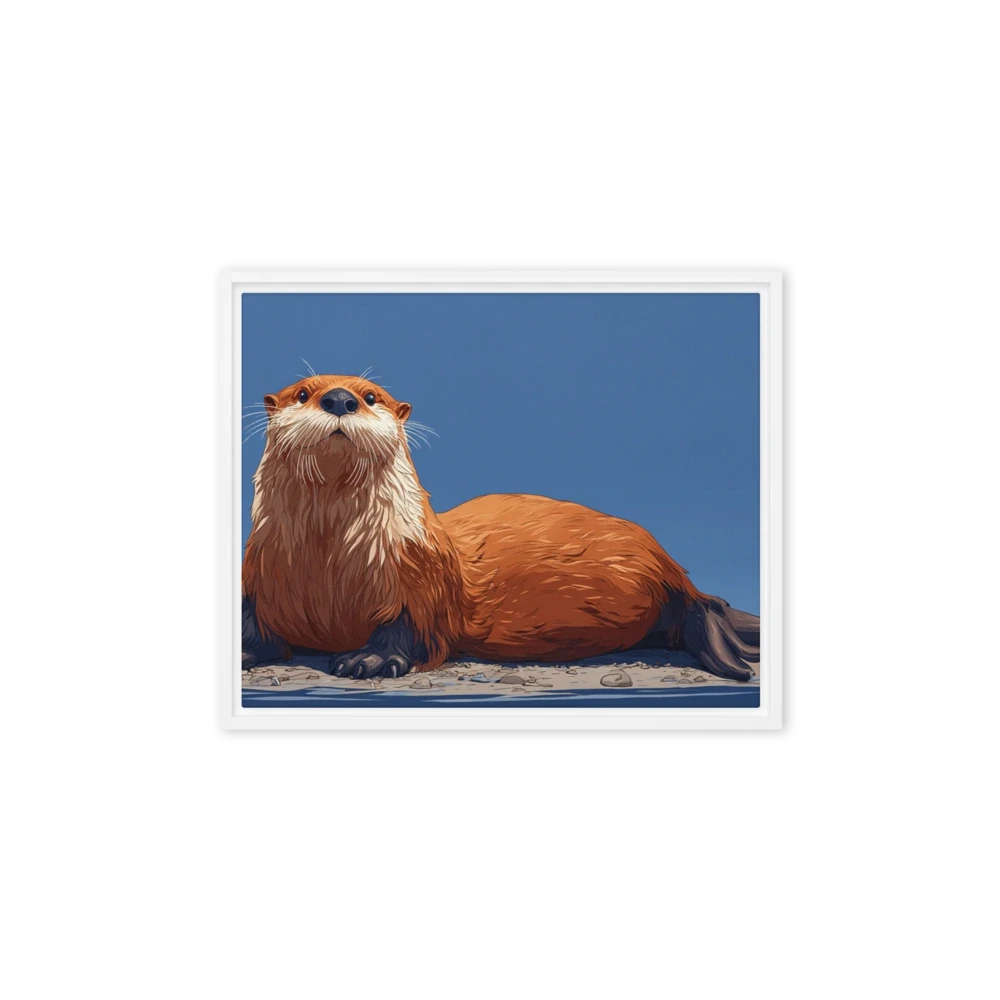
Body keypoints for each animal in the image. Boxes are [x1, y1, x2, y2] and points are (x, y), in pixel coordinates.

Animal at [242, 374, 760, 681]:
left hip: (660, 578)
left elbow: (411, 626)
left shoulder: (420, 575)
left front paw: (368, 658)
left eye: (371, 396)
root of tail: (667, 560)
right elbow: (254, 624)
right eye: (303, 393)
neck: (329, 567)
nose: (340, 399)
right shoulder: (257, 575)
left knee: (701, 605)